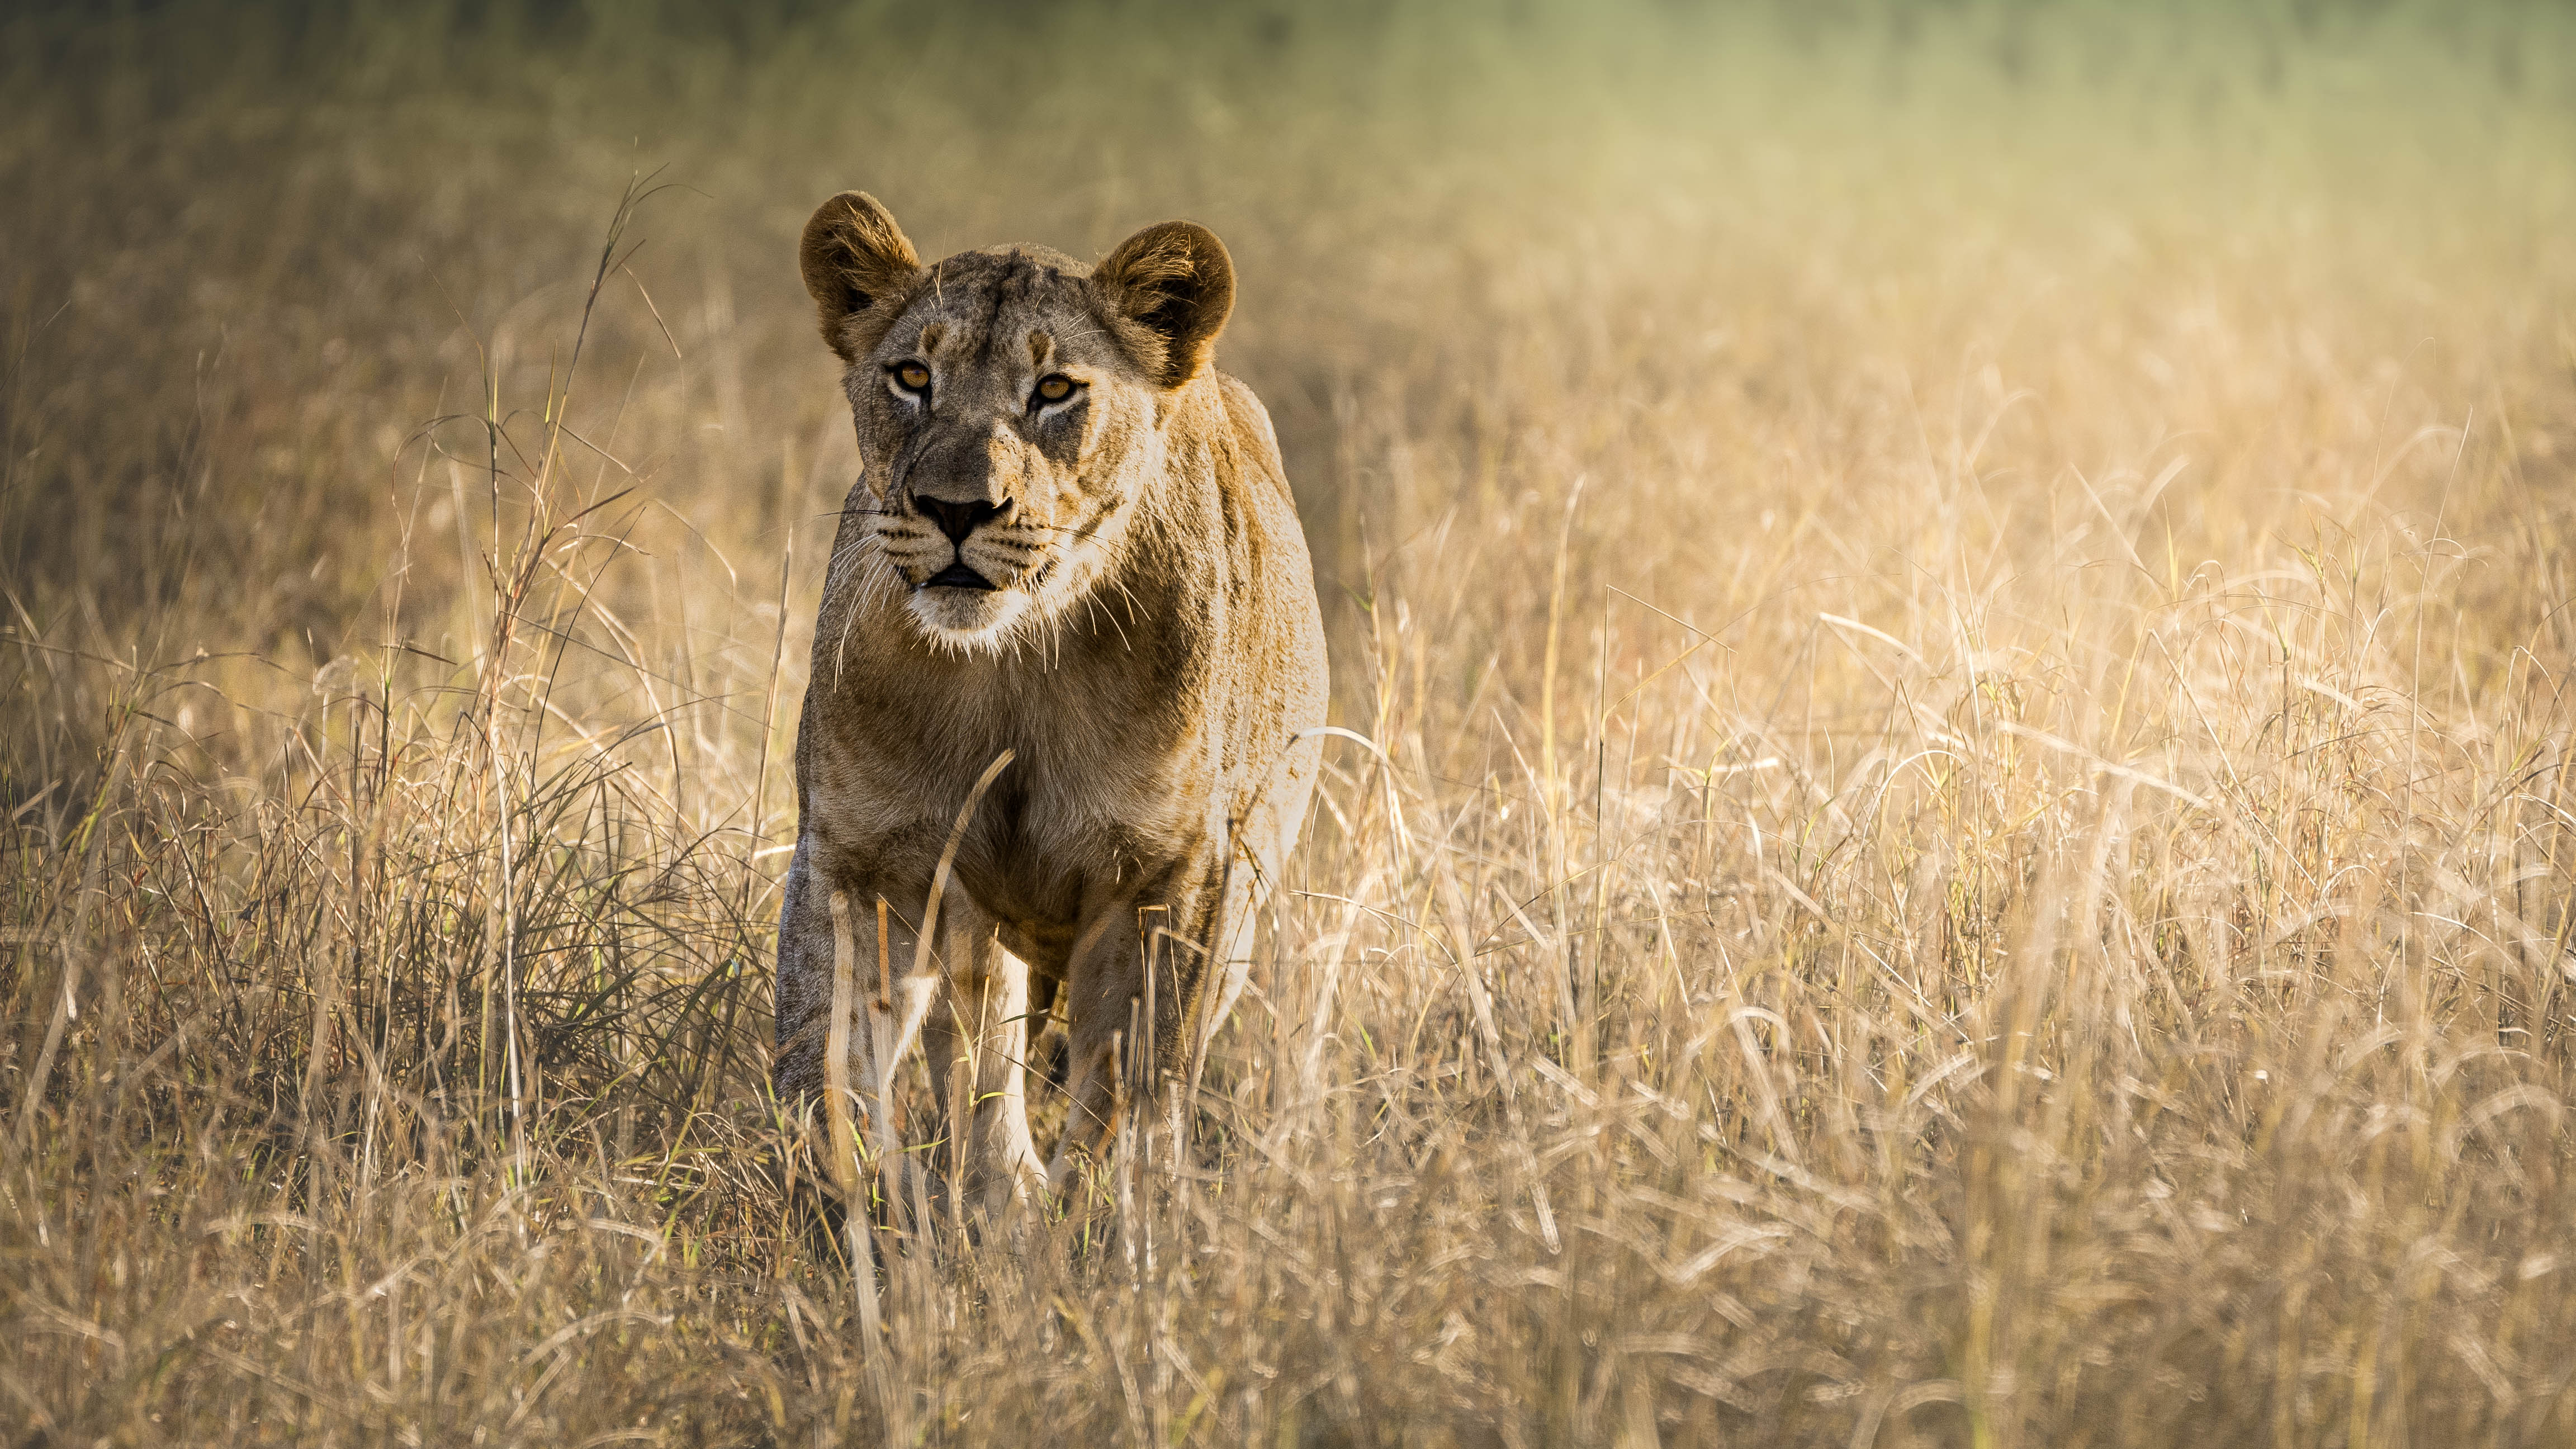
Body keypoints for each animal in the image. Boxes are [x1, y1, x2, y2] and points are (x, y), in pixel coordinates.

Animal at [771, 192, 1329, 1215]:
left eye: (1057, 390)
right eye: (912, 375)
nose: (958, 509)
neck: (1016, 670)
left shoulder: (1172, 881)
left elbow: (1129, 1086)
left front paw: (1093, 1217)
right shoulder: (857, 855)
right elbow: (820, 1054)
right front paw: (854, 1195)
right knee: (979, 1047)